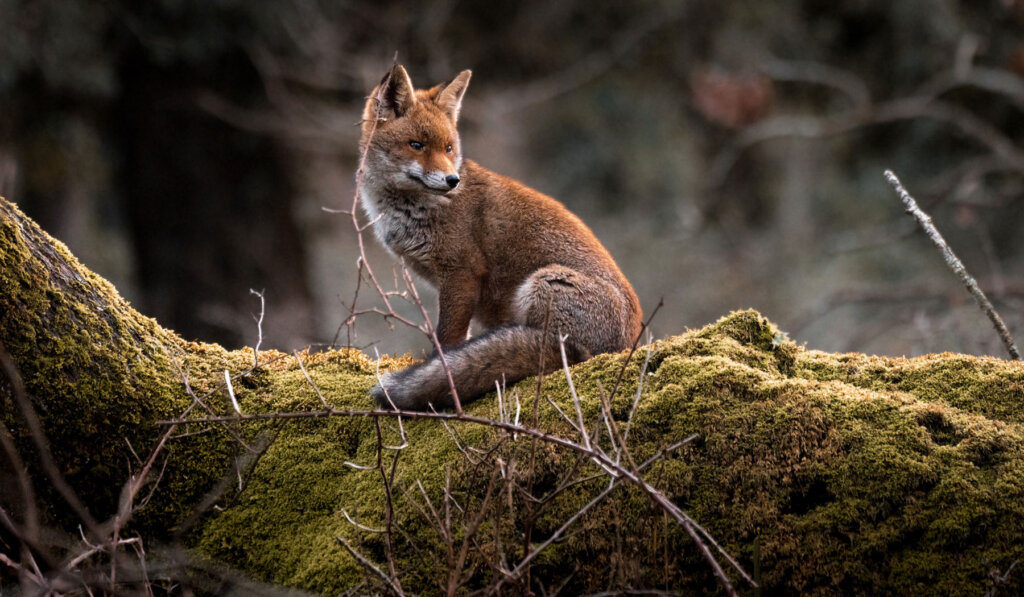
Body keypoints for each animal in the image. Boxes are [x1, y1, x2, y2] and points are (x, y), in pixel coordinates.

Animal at [362, 65, 638, 411]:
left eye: (448, 148)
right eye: (416, 145)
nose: (452, 180)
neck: (410, 210)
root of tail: (628, 344)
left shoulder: (462, 272)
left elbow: (447, 340)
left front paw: (441, 370)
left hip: (544, 284)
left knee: (559, 355)